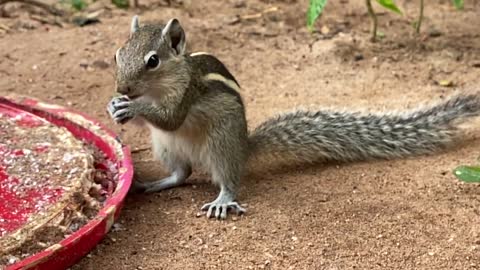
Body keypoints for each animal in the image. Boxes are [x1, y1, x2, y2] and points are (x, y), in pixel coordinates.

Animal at [107, 15, 480, 219]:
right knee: (180, 174)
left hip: (221, 145)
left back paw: (223, 200)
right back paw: (151, 184)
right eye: (118, 53)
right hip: (165, 147)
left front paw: (132, 108)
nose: (122, 87)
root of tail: (244, 147)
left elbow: (171, 117)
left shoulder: (185, 95)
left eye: (152, 61)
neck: (158, 88)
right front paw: (116, 106)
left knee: (228, 179)